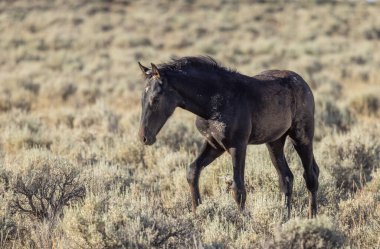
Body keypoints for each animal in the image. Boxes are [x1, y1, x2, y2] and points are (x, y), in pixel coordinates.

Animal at [138, 56, 320, 218]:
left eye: (156, 99)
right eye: (142, 99)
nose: (144, 138)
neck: (215, 101)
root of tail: (302, 82)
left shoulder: (237, 146)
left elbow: (238, 188)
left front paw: (242, 222)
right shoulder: (214, 144)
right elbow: (192, 172)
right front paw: (197, 214)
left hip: (301, 136)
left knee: (310, 175)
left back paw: (312, 217)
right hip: (274, 141)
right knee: (286, 177)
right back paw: (284, 218)